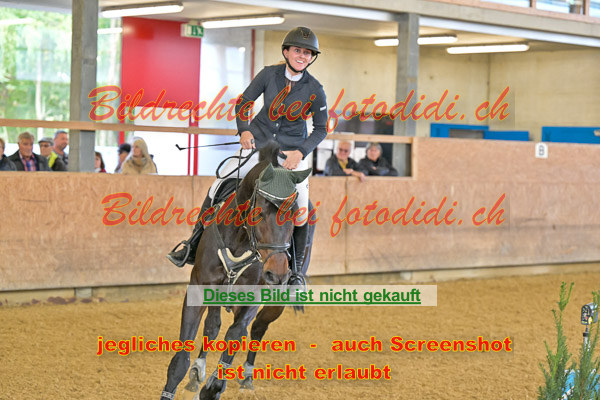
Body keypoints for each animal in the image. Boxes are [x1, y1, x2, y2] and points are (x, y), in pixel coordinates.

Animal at [160, 143, 315, 400]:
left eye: (294, 216)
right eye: (259, 213)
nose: (277, 274)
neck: (241, 240)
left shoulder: (253, 297)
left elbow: (234, 336)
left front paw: (213, 387)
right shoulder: (200, 287)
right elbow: (182, 356)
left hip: (277, 301)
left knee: (257, 329)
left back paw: (247, 376)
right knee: (212, 327)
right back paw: (197, 372)